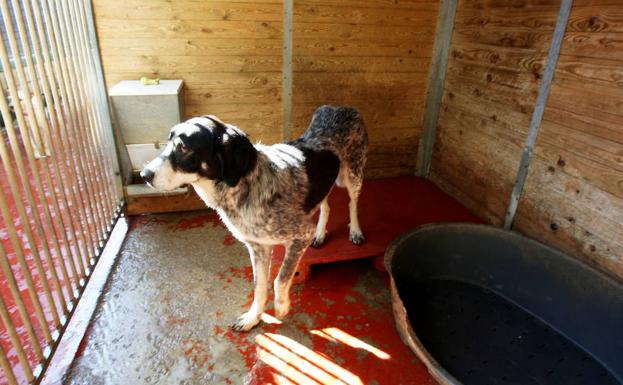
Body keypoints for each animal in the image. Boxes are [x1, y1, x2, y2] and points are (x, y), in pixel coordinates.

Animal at [141, 105, 368, 330]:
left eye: (183, 148)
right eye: (168, 143)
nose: (144, 175)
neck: (246, 187)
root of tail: (342, 107)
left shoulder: (301, 235)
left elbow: (280, 279)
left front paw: (281, 306)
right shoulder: (258, 246)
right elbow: (259, 286)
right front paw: (253, 318)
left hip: (353, 175)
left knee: (353, 203)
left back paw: (355, 231)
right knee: (326, 206)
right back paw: (320, 235)